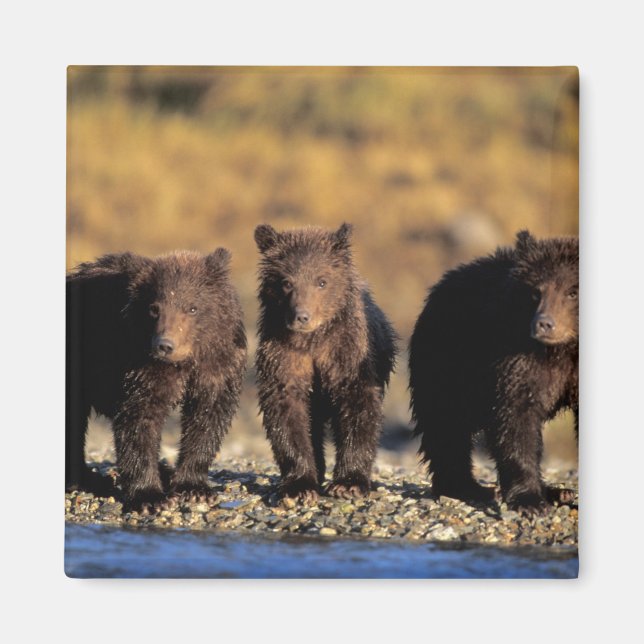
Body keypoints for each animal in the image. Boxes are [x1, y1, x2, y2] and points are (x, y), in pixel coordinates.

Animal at [66, 249, 247, 512]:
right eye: (154, 308)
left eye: (192, 308)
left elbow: (207, 417)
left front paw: (194, 488)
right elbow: (139, 420)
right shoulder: (140, 369)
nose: (164, 345)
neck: (185, 362)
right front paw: (149, 497)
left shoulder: (217, 366)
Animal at [254, 223, 397, 502]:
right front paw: (299, 486)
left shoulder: (347, 353)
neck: (312, 342)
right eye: (286, 282)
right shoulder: (283, 356)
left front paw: (348, 483)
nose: (301, 316)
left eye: (322, 281)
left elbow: (358, 406)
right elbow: (287, 412)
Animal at [409, 230, 578, 513]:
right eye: (535, 292)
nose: (543, 324)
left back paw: (558, 491)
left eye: (572, 292)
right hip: (446, 363)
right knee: (446, 426)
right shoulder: (516, 358)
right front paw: (529, 501)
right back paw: (467, 486)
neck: (562, 350)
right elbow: (516, 418)